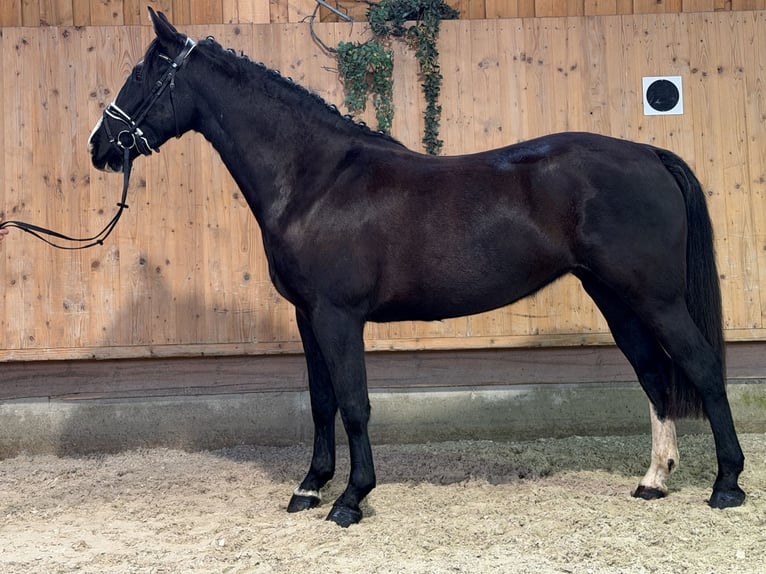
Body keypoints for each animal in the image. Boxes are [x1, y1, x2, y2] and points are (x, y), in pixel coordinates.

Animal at [88, 9, 745, 526]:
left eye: (144, 73)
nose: (100, 145)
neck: (316, 180)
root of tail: (650, 153)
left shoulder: (338, 317)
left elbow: (354, 401)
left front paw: (350, 499)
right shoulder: (308, 318)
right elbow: (321, 402)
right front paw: (309, 488)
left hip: (657, 298)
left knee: (702, 368)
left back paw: (726, 486)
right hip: (616, 298)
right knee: (654, 374)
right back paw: (653, 481)